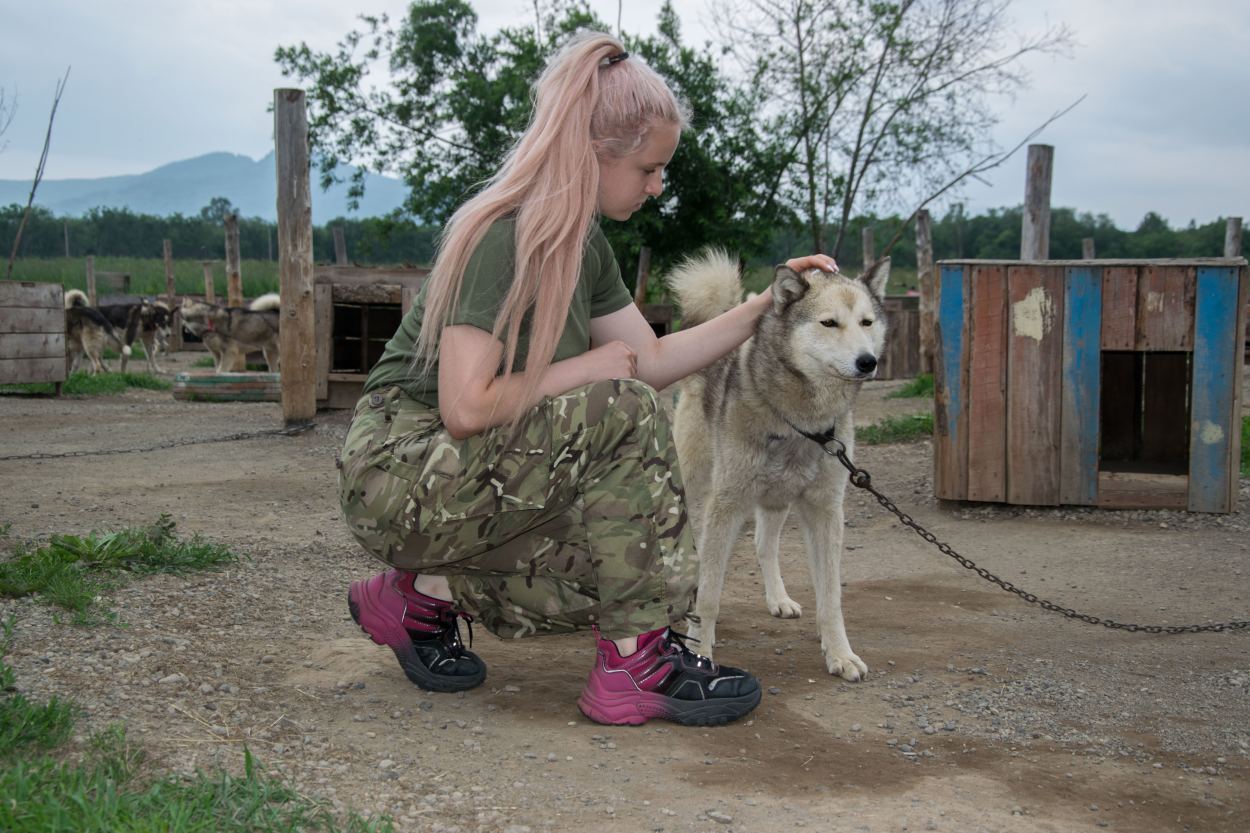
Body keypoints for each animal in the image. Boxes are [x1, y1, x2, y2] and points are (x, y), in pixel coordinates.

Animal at [675, 250, 890, 680]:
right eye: (828, 323)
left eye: (866, 322)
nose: (867, 361)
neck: (802, 422)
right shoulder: (726, 505)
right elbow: (709, 594)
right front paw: (700, 649)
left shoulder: (825, 511)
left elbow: (831, 597)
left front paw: (839, 654)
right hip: (696, 486)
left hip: (776, 499)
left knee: (762, 545)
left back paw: (778, 599)